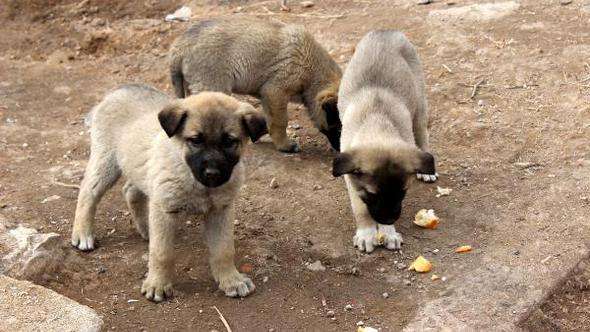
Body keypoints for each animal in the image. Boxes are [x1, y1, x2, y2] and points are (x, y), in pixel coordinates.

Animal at [70, 84, 270, 302]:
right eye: (195, 140)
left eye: (229, 142)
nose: (212, 173)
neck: (195, 180)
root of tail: (118, 90)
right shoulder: (164, 208)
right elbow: (162, 253)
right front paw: (157, 284)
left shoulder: (221, 210)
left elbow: (224, 250)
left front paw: (231, 280)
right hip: (107, 162)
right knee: (88, 193)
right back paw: (83, 233)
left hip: (141, 170)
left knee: (130, 191)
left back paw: (146, 228)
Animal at [336, 31, 438, 254]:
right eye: (372, 194)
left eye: (403, 192)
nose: (389, 219)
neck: (377, 121)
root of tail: (385, 31)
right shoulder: (351, 179)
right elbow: (360, 208)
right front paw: (367, 233)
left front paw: (388, 232)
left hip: (419, 106)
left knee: (423, 135)